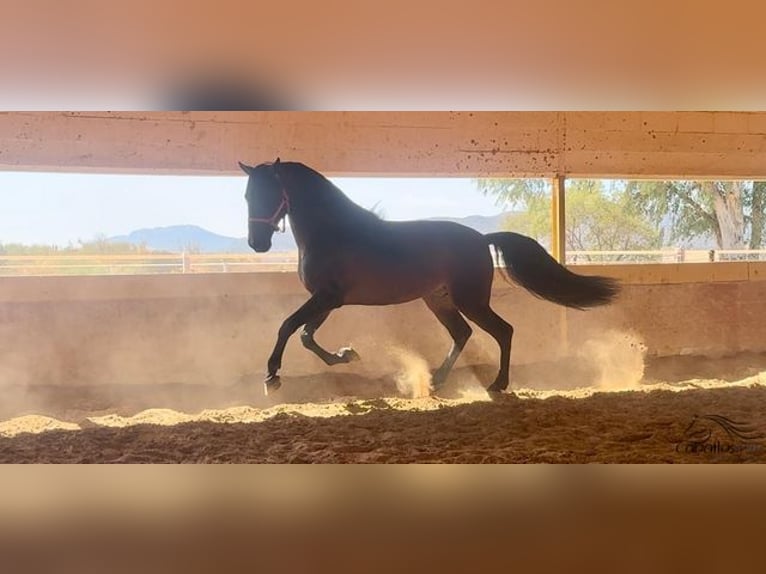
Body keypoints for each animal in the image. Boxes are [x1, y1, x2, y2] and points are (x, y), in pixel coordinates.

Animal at [243, 160, 620, 398]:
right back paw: (437, 380)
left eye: (270, 193)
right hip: (439, 300)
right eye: (248, 195)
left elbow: (288, 327)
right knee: (463, 333)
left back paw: (497, 385)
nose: (257, 244)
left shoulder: (327, 297)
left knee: (503, 331)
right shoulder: (327, 300)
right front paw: (347, 355)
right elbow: (306, 336)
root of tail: (481, 239)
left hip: (470, 300)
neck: (332, 233)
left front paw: (271, 377)